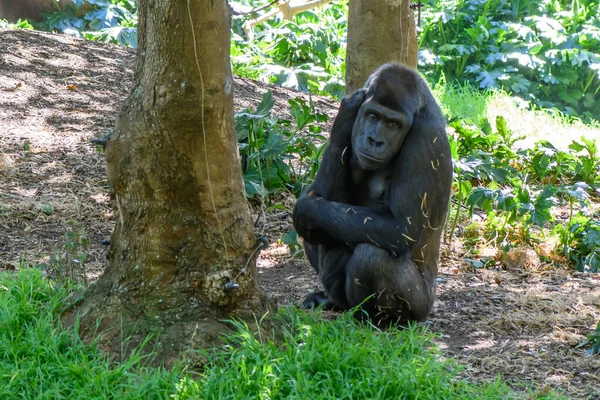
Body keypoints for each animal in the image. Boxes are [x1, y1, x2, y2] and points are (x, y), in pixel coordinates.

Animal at [292, 63, 452, 324]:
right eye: (374, 116)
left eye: (394, 124)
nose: (375, 140)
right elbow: (322, 195)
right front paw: (344, 121)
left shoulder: (425, 139)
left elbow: (401, 228)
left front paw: (306, 210)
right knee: (324, 228)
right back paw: (332, 301)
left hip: (421, 307)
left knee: (372, 256)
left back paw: (376, 319)